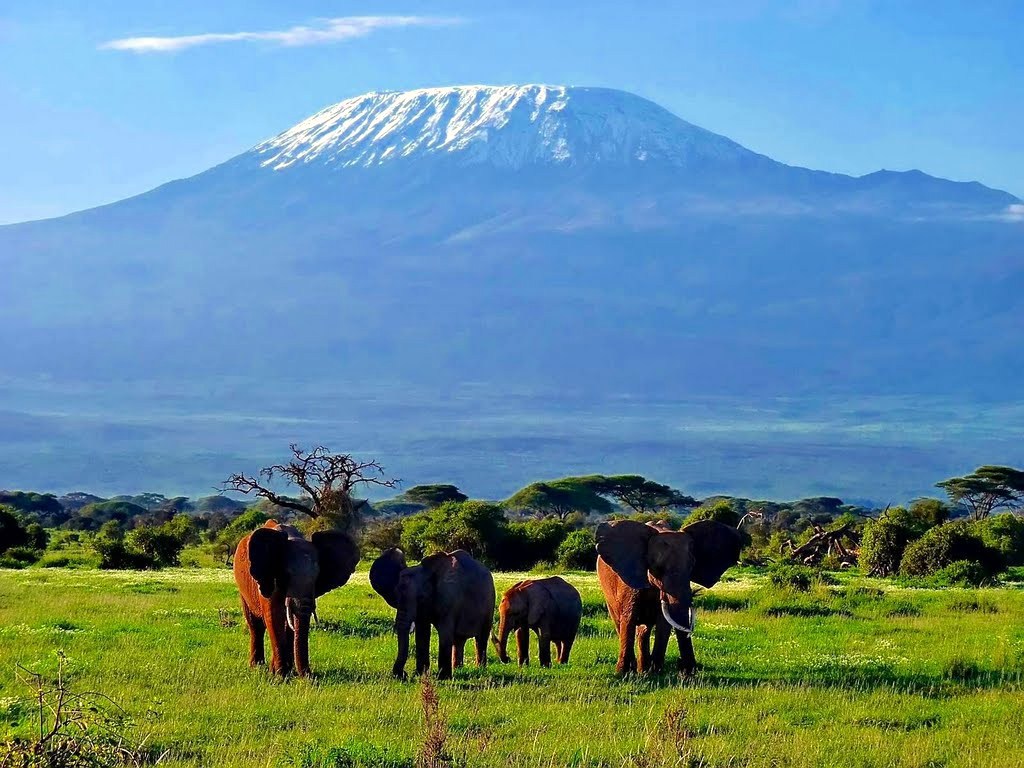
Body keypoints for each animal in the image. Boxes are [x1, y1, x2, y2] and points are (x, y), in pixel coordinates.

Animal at [233, 520, 359, 677]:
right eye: (286, 574)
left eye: (317, 576)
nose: (308, 676)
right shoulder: (269, 575)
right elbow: (274, 616)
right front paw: (279, 675)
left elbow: (289, 623)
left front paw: (284, 672)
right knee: (255, 625)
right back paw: (257, 667)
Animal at [369, 547, 496, 681]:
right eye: (396, 597)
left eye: (420, 597)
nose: (404, 674)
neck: (426, 572)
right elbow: (422, 632)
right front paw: (420, 675)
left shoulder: (448, 597)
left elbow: (445, 632)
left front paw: (442, 678)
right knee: (459, 640)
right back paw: (458, 669)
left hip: (490, 603)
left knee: (481, 638)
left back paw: (480, 669)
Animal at [596, 519, 740, 676]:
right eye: (658, 567)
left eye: (692, 566)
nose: (684, 668)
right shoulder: (630, 582)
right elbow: (629, 618)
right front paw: (624, 674)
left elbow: (664, 622)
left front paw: (656, 672)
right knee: (619, 622)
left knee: (644, 630)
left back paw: (644, 670)